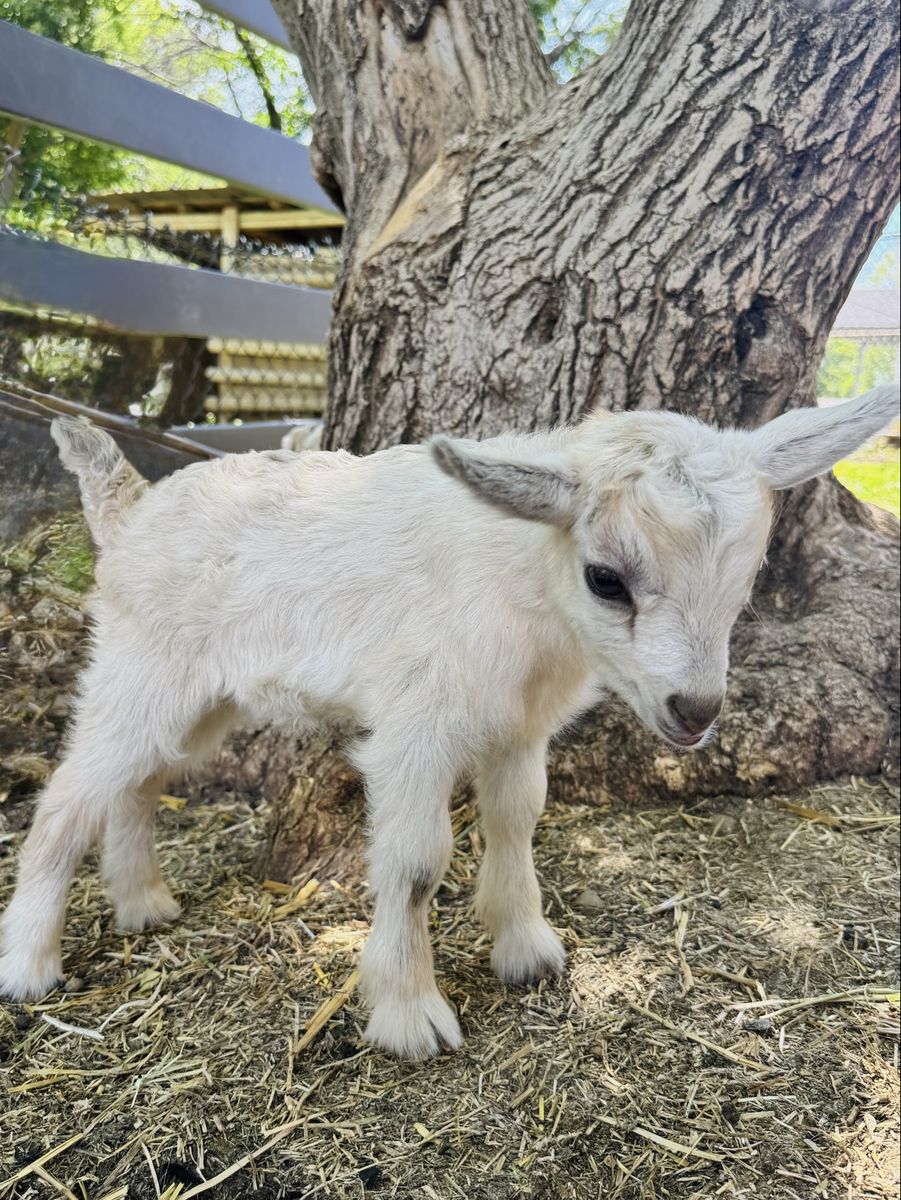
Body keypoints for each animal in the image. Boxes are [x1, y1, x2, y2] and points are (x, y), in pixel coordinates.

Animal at [1, 387, 897, 1058]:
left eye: (747, 576)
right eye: (605, 578)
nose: (695, 712)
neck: (527, 593)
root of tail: (129, 512)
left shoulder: (519, 729)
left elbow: (517, 820)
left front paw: (526, 948)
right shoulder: (413, 731)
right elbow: (415, 864)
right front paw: (407, 1014)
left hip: (196, 699)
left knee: (136, 785)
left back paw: (144, 904)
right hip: (141, 669)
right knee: (67, 798)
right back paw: (29, 963)